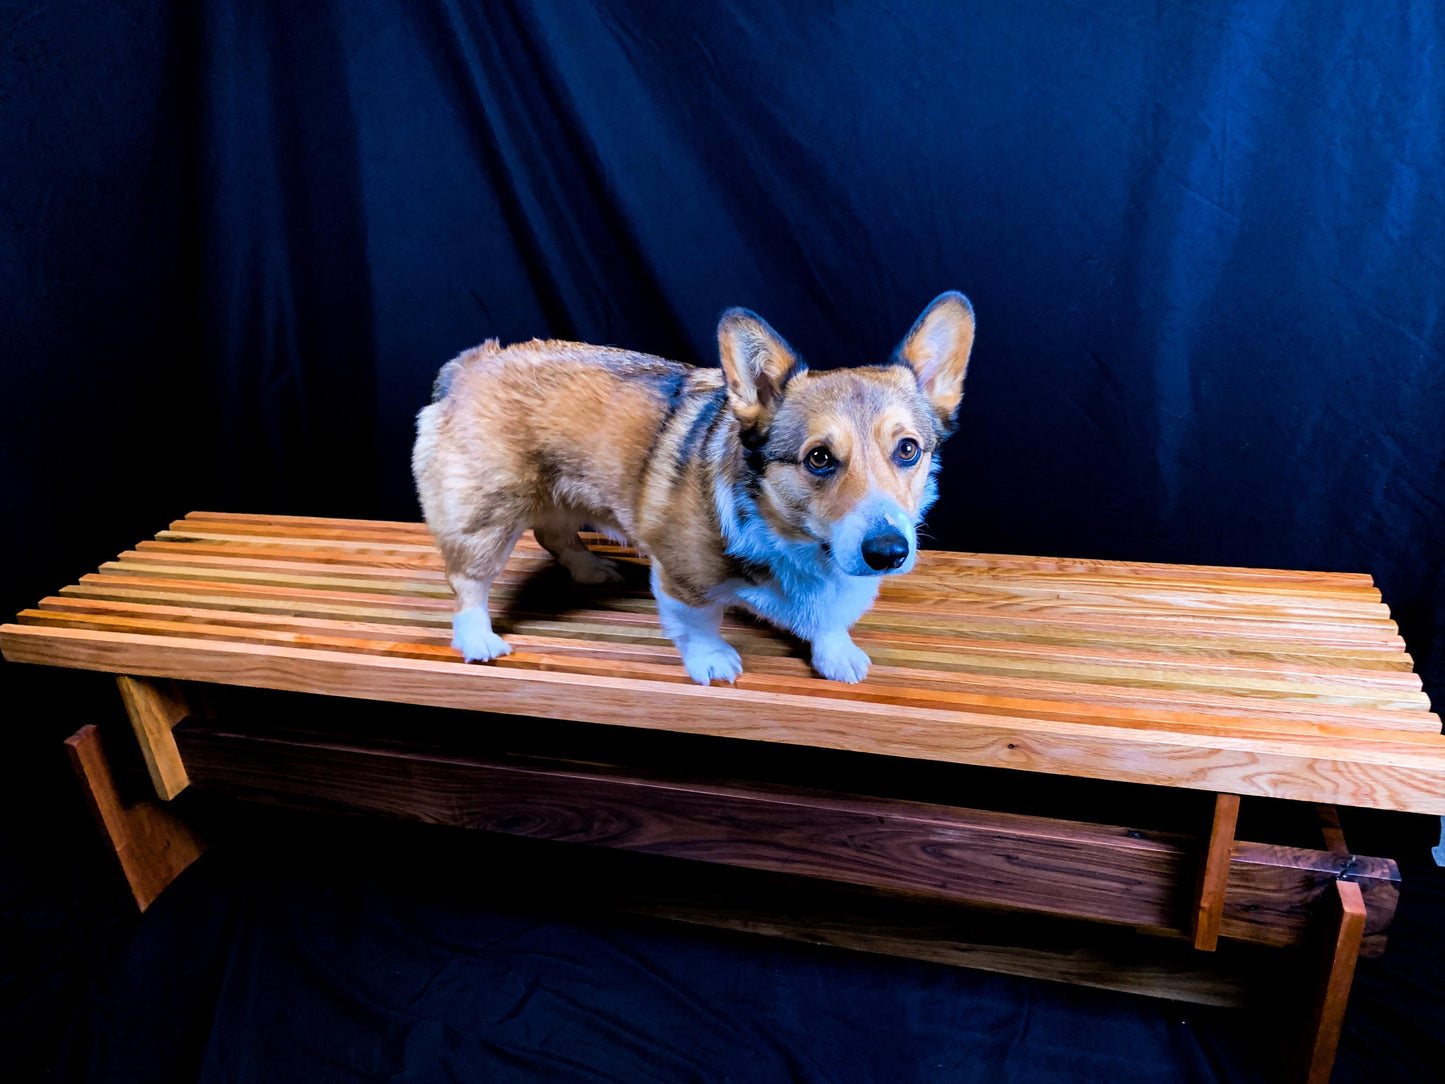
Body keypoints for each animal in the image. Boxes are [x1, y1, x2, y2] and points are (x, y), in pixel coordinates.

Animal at [413, 294, 976, 687]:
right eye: (819, 458)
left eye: (908, 449)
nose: (888, 552)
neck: (796, 537)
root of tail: (471, 364)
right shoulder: (681, 574)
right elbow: (700, 620)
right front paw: (713, 660)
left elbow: (828, 622)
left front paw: (836, 652)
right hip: (485, 517)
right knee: (468, 581)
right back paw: (478, 639)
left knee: (555, 535)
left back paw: (590, 569)